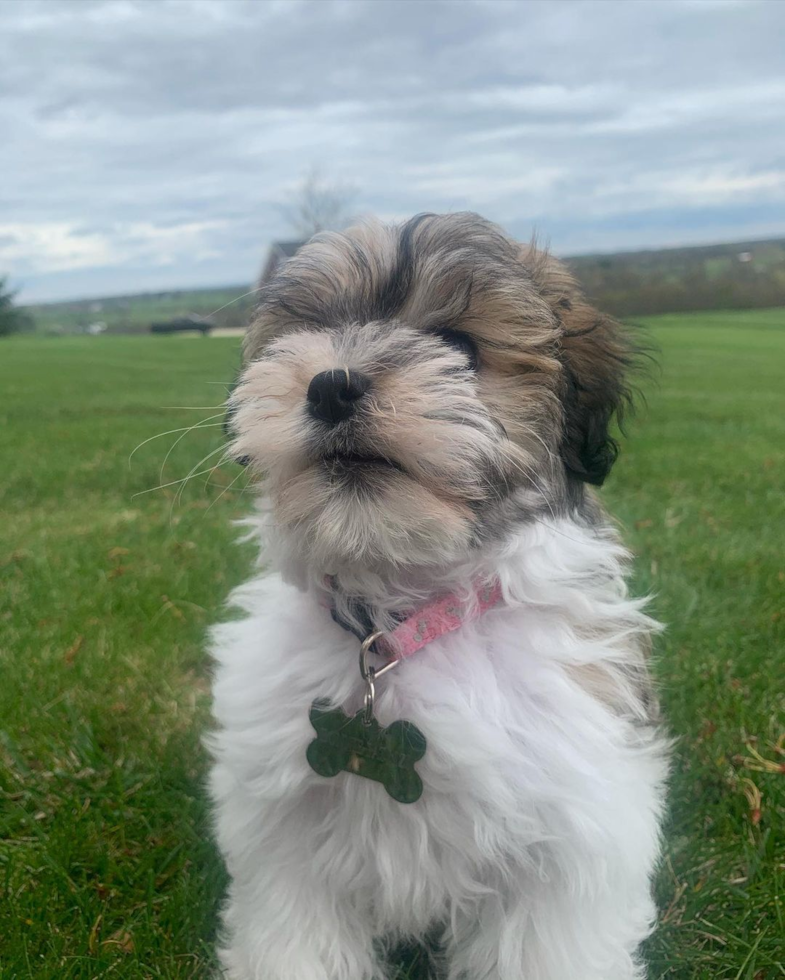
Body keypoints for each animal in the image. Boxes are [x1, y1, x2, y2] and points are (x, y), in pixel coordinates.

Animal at [210, 214, 668, 980]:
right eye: (311, 331)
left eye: (459, 346)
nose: (331, 385)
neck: (398, 619)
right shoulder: (285, 838)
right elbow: (295, 940)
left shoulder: (568, 831)